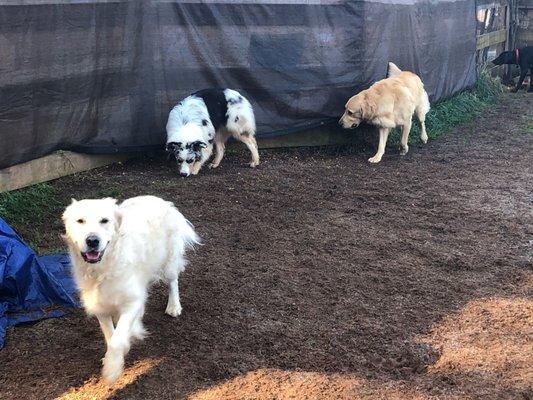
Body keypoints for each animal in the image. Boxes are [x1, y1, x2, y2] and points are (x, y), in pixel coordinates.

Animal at [62, 195, 198, 382]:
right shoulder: (100, 306)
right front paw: (113, 358)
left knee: (173, 281)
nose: (92, 240)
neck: (103, 269)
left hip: (168, 263)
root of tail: (161, 200)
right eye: (80, 221)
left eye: (104, 220)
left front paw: (112, 369)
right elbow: (110, 335)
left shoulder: (132, 302)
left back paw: (174, 306)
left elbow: (117, 340)